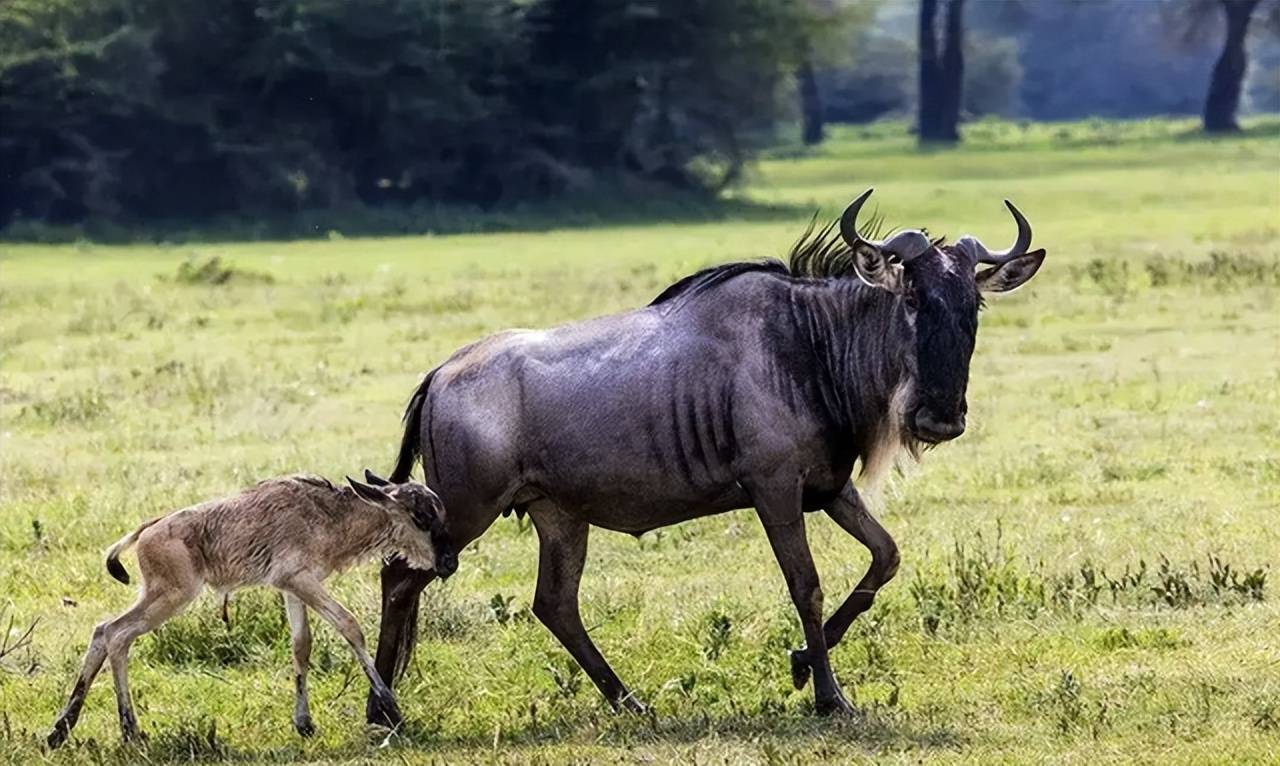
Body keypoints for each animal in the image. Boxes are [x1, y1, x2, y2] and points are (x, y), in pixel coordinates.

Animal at [47, 471, 458, 748]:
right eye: (422, 517)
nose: (449, 563)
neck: (330, 516)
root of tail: (148, 528)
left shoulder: (293, 588)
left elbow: (301, 646)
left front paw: (304, 723)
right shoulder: (301, 580)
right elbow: (350, 625)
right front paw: (391, 709)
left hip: (159, 596)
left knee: (105, 631)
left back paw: (63, 730)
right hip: (171, 596)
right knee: (115, 633)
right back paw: (128, 730)